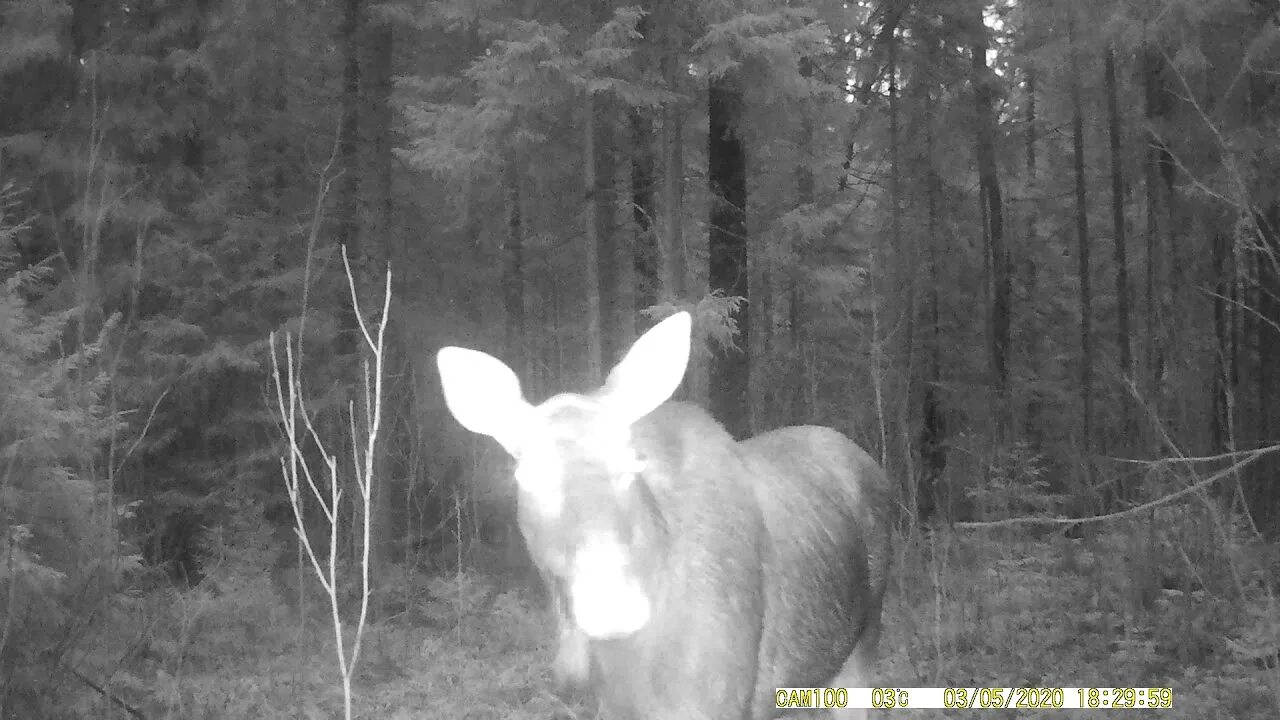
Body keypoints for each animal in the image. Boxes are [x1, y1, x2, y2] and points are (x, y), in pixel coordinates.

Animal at [437, 312, 890, 717]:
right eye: (525, 475)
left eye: (632, 462)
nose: (613, 603)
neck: (631, 666)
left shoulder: (719, 700)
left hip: (864, 643)